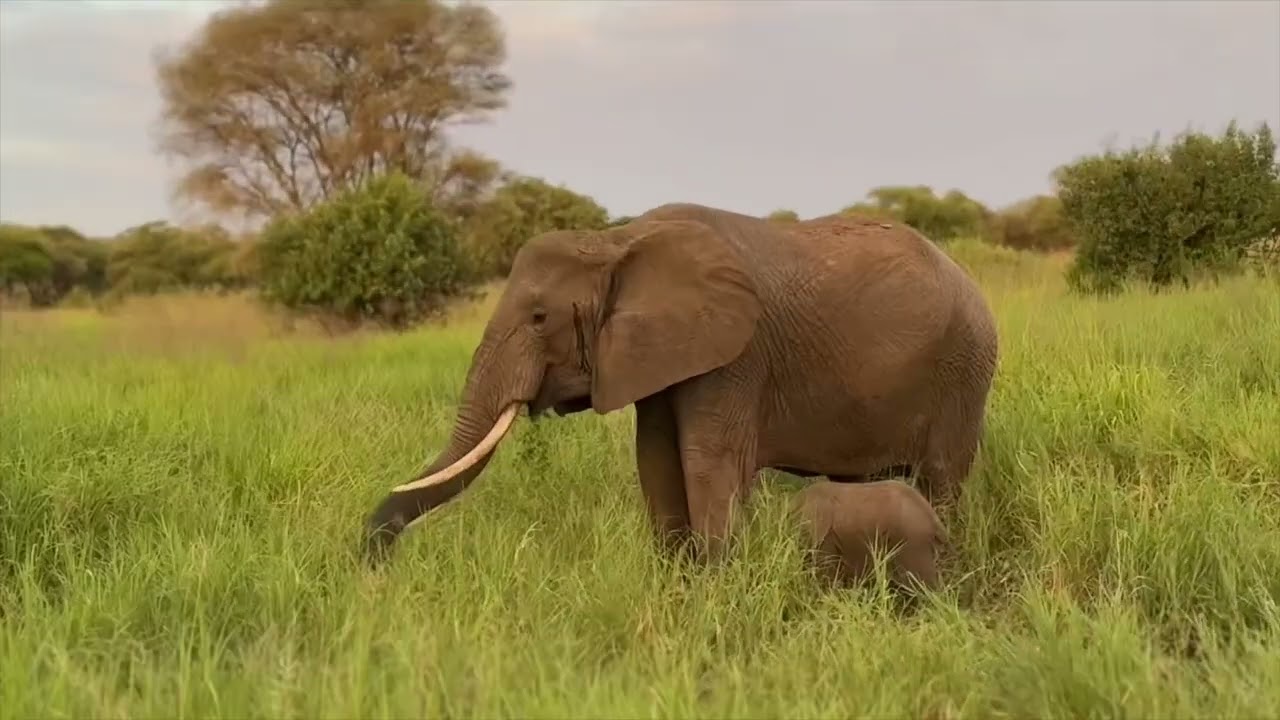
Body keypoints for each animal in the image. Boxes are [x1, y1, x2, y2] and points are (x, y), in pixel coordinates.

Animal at [361, 202, 998, 564]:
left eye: (540, 318)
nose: (373, 561)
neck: (616, 241)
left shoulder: (734, 355)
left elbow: (707, 464)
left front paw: (717, 591)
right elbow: (657, 462)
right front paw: (678, 582)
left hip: (963, 372)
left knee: (943, 477)